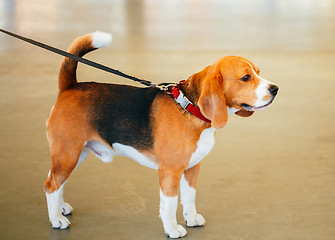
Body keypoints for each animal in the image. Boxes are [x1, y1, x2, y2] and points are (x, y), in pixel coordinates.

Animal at [45, 31, 280, 238]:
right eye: (246, 77)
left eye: (258, 72)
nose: (275, 89)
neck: (189, 108)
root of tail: (70, 86)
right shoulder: (170, 171)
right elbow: (170, 204)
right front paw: (173, 229)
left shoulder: (192, 167)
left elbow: (189, 197)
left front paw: (191, 218)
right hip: (68, 153)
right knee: (51, 185)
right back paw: (56, 219)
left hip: (74, 154)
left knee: (56, 180)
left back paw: (61, 208)